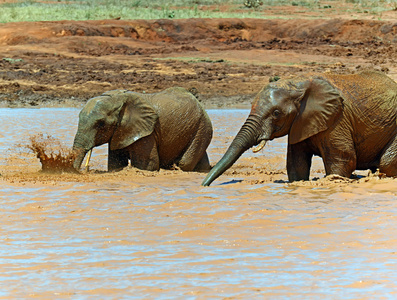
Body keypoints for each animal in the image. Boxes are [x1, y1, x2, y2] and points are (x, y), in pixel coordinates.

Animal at [72, 85, 212, 172]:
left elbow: (147, 165)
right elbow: (115, 163)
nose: (84, 170)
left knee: (185, 162)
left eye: (101, 124)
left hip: (202, 128)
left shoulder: (147, 133)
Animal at [201, 70, 396, 185]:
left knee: (386, 163)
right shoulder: (300, 122)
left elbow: (342, 159)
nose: (204, 185)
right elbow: (296, 162)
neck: (297, 83)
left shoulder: (338, 119)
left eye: (276, 113)